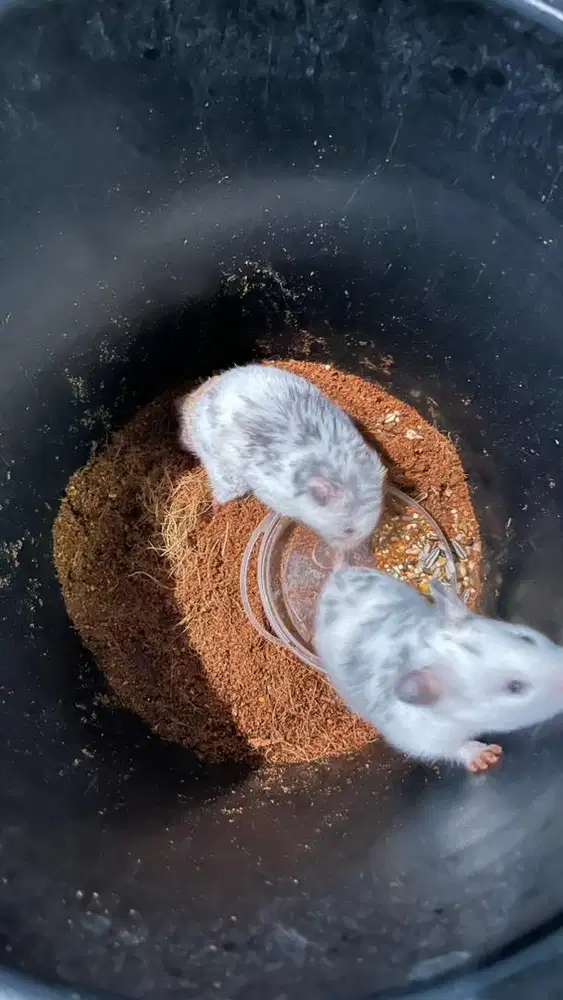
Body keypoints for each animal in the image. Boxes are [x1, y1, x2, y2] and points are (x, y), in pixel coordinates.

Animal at [315, 569, 563, 772]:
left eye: (527, 638)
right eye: (515, 687)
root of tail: (334, 578)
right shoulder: (423, 737)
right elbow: (453, 748)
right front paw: (487, 756)